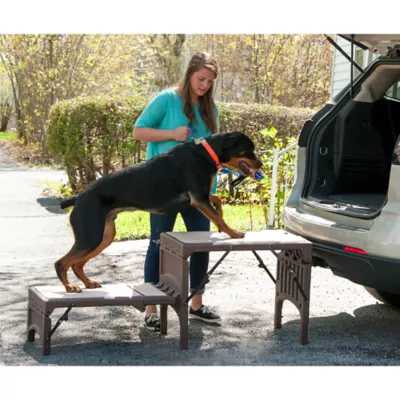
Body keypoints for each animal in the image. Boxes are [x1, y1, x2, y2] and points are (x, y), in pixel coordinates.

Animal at [56, 133, 262, 292]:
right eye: (248, 149)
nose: (260, 164)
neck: (205, 153)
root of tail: (77, 198)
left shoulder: (199, 197)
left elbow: (218, 201)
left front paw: (222, 223)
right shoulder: (198, 198)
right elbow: (218, 217)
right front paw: (233, 232)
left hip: (104, 236)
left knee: (77, 264)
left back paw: (88, 283)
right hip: (91, 237)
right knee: (61, 263)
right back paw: (70, 287)